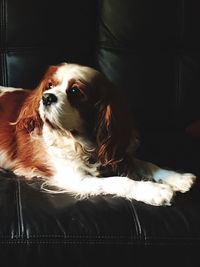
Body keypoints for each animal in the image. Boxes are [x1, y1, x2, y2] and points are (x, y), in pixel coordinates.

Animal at [0, 63, 196, 206]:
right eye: (49, 86)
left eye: (75, 91)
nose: (47, 97)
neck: (78, 140)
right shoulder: (76, 178)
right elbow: (119, 181)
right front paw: (154, 190)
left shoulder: (113, 151)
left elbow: (145, 163)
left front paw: (176, 177)